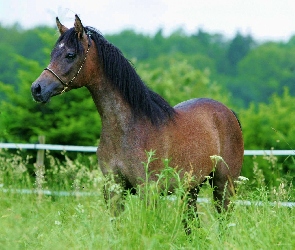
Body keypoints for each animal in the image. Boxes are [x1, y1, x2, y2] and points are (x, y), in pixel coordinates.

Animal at [31, 14, 245, 233]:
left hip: (224, 185)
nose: (37, 89)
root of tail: (228, 112)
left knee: (224, 222)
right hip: (191, 189)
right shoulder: (114, 190)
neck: (127, 129)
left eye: (70, 54)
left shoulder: (148, 191)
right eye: (53, 53)